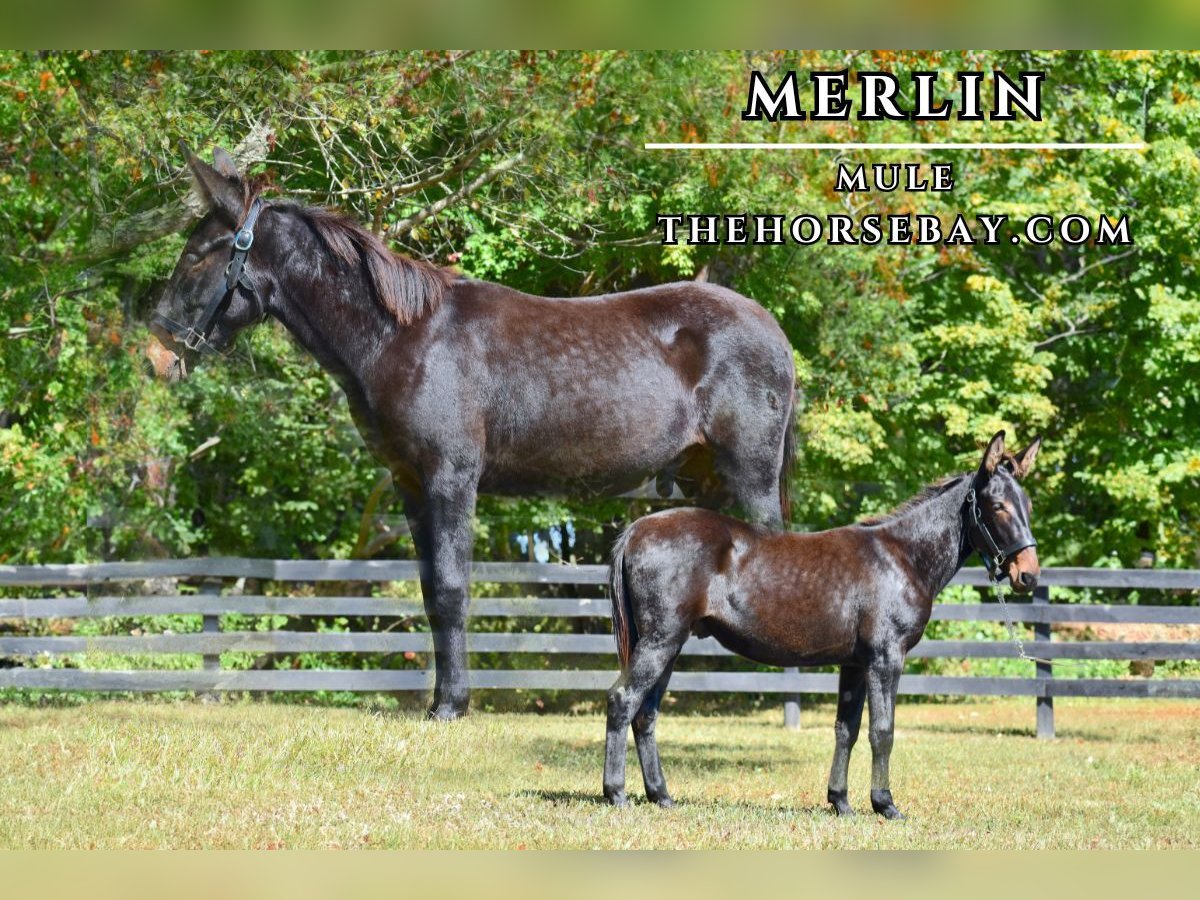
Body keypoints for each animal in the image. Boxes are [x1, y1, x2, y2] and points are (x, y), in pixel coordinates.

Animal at [609, 434, 1041, 820]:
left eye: (1028, 505)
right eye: (998, 505)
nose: (1029, 575)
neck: (901, 557)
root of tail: (636, 531)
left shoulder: (854, 664)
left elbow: (846, 729)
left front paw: (841, 803)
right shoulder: (885, 660)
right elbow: (882, 731)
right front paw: (885, 805)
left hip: (669, 645)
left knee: (645, 714)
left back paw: (661, 796)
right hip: (660, 642)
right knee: (622, 700)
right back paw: (616, 794)